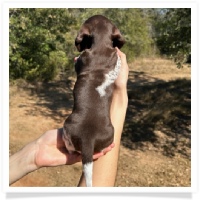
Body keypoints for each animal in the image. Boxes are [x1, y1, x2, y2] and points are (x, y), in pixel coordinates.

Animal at [62, 14, 125, 187]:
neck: (101, 46)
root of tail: (88, 140)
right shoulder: (115, 58)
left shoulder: (82, 59)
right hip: (110, 134)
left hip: (66, 129)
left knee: (70, 147)